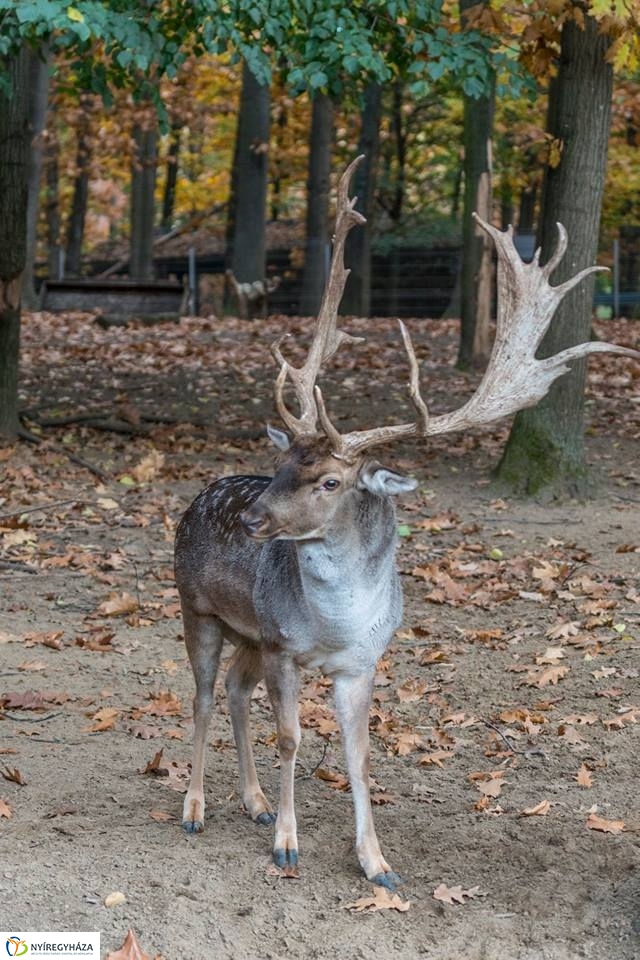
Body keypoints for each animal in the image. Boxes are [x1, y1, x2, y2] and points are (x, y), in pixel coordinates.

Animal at [174, 156, 636, 884]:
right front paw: (287, 845)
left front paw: (375, 860)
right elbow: (292, 738)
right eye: (283, 463)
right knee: (198, 695)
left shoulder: (362, 662)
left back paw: (250, 802)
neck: (333, 626)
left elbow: (359, 753)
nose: (252, 517)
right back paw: (194, 808)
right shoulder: (283, 645)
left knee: (234, 692)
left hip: (246, 632)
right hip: (198, 607)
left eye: (331, 480)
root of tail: (201, 496)